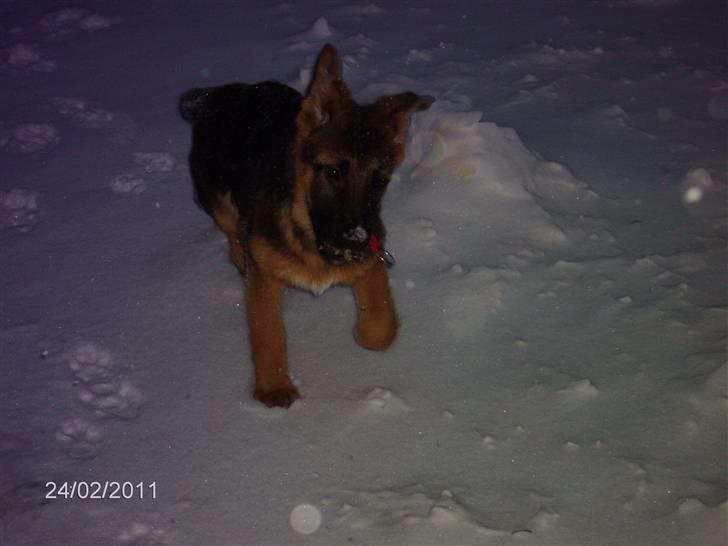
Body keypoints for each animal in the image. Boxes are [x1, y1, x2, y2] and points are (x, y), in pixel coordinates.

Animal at [179, 44, 432, 406]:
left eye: (379, 180)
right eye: (333, 172)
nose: (356, 239)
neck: (308, 233)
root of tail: (219, 94)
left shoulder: (373, 254)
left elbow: (380, 328)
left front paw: (364, 330)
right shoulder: (265, 280)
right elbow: (268, 332)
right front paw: (274, 387)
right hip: (215, 197)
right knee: (232, 232)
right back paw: (240, 255)